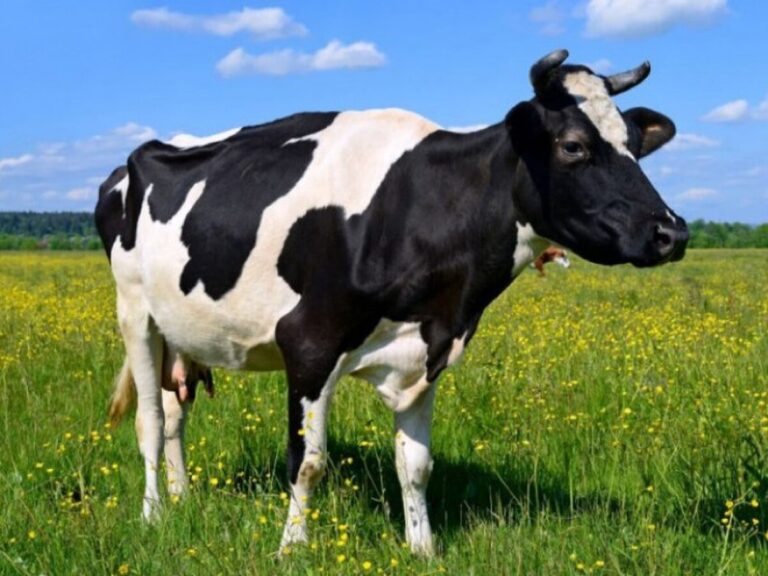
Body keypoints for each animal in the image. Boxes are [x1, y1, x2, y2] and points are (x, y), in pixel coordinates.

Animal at [95, 49, 688, 555]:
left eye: (635, 143)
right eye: (573, 146)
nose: (671, 232)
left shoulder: (427, 350)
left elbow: (416, 465)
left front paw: (423, 548)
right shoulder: (308, 343)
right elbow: (307, 462)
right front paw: (292, 548)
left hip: (181, 331)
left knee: (175, 411)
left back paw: (182, 498)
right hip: (135, 315)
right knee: (150, 420)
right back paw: (153, 515)